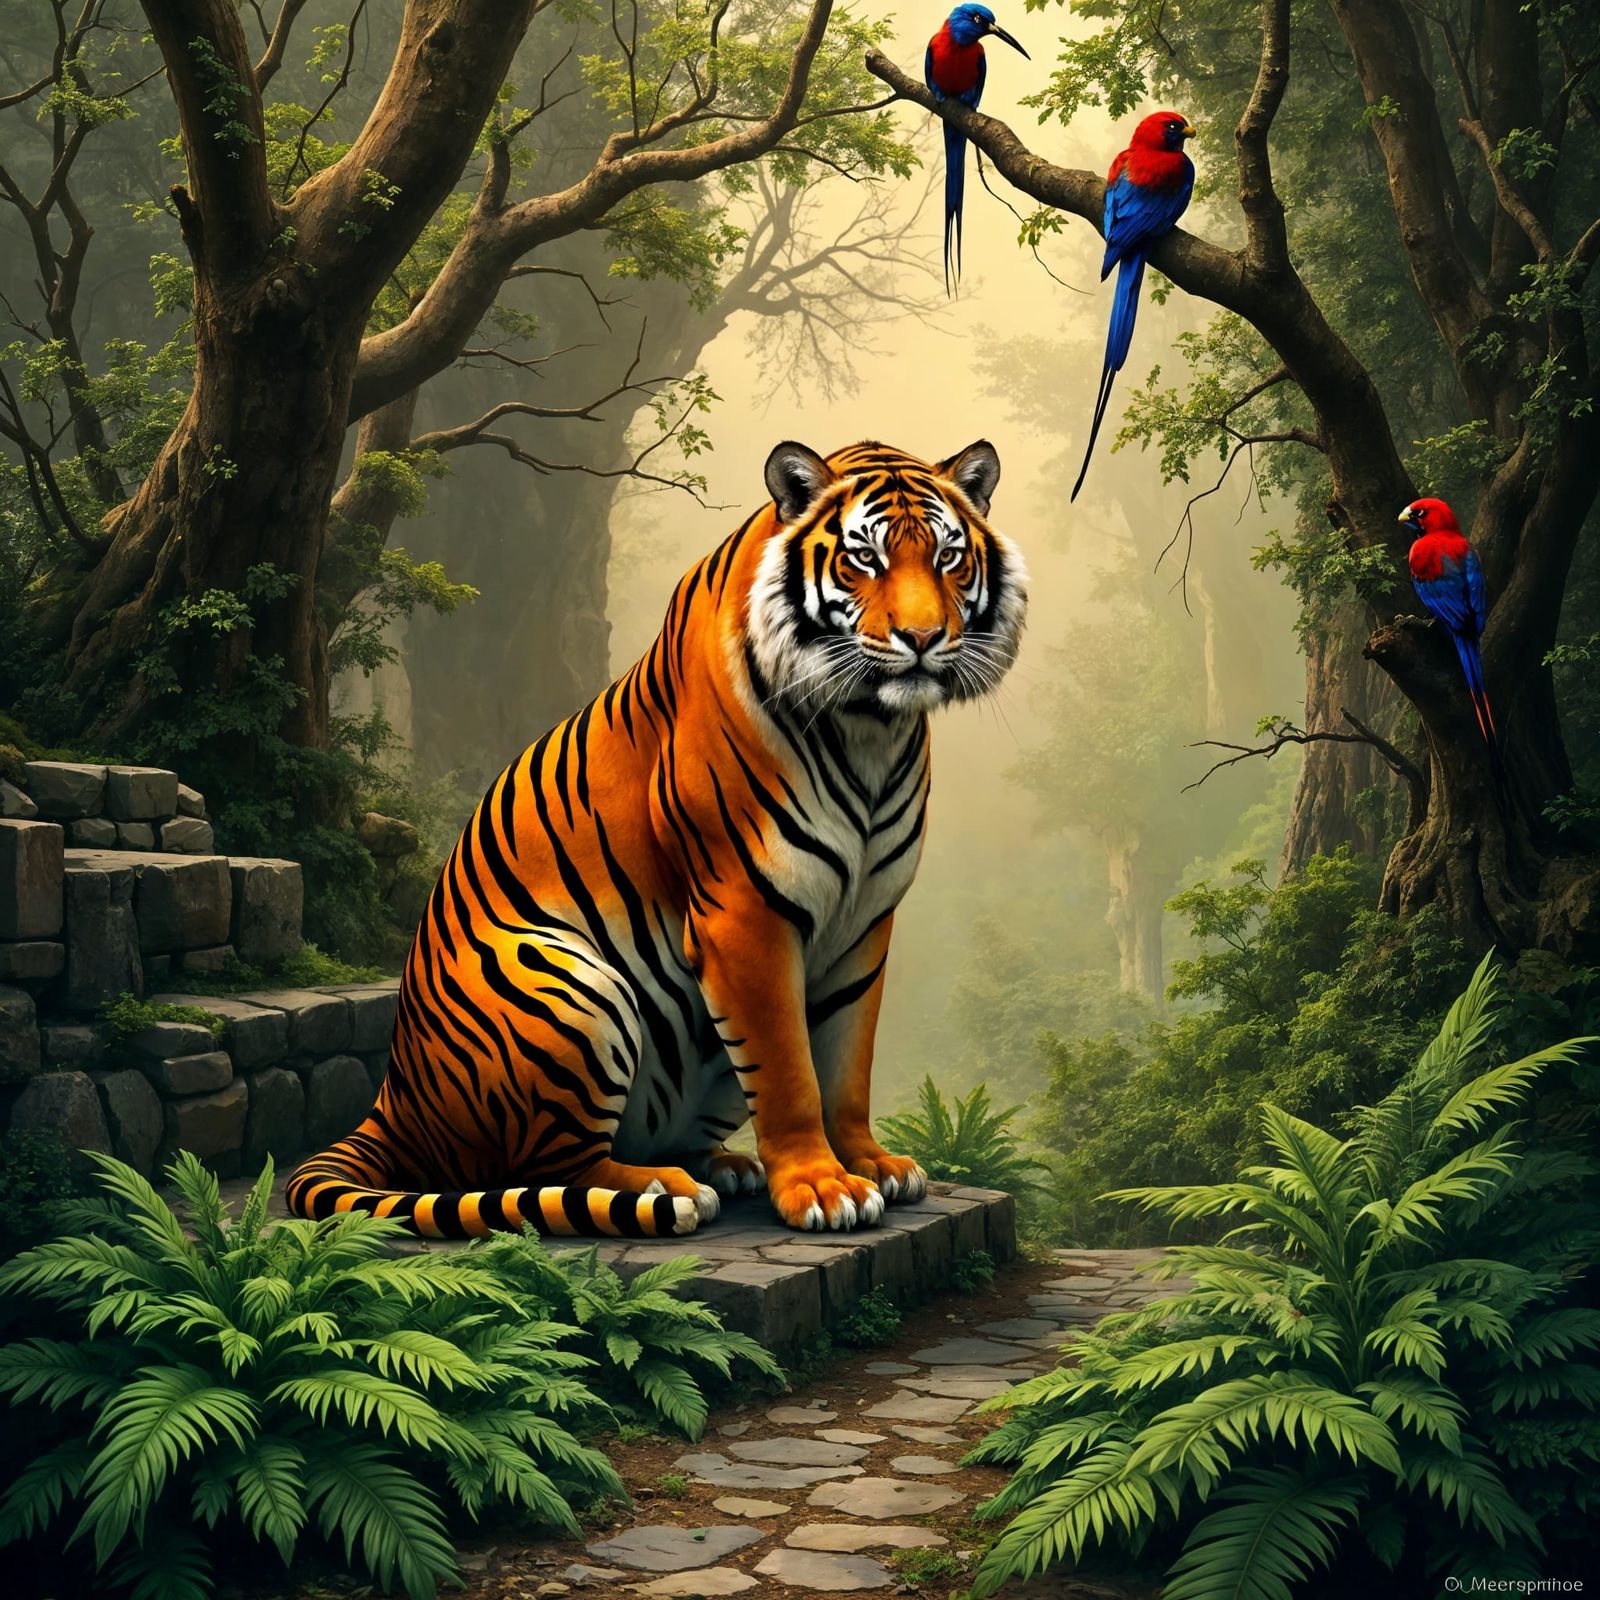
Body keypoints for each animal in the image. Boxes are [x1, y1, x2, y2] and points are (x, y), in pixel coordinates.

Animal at [285, 438, 1028, 1239]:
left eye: (949, 557)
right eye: (865, 558)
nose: (923, 640)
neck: (871, 730)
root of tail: (392, 1098)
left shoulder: (865, 920)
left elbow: (846, 1061)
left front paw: (872, 1164)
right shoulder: (745, 913)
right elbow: (790, 1070)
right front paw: (823, 1188)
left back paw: (726, 1166)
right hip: (567, 985)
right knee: (554, 1169)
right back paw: (660, 1188)